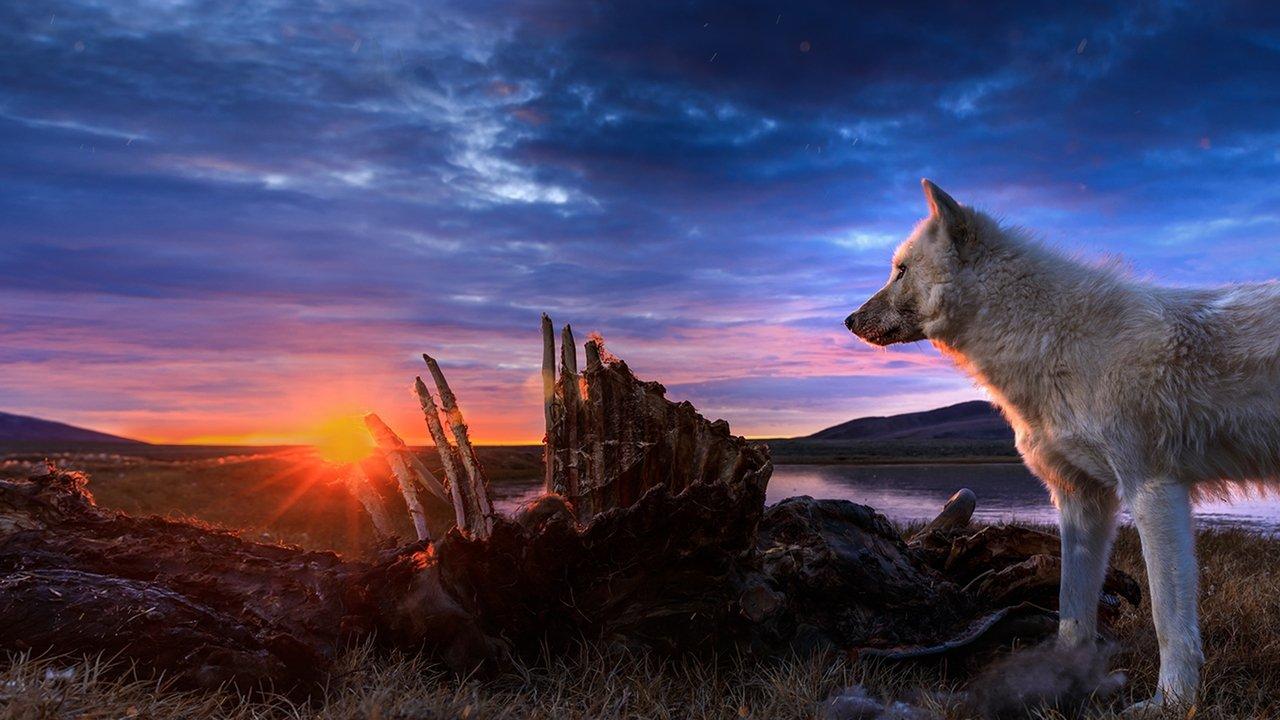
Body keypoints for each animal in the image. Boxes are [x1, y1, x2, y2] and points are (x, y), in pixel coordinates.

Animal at [846, 179, 1280, 711]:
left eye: (901, 269)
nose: (848, 320)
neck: (1051, 340)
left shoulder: (1153, 490)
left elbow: (1167, 620)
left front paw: (1171, 704)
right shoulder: (1080, 498)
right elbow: (1071, 608)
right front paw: (1060, 681)